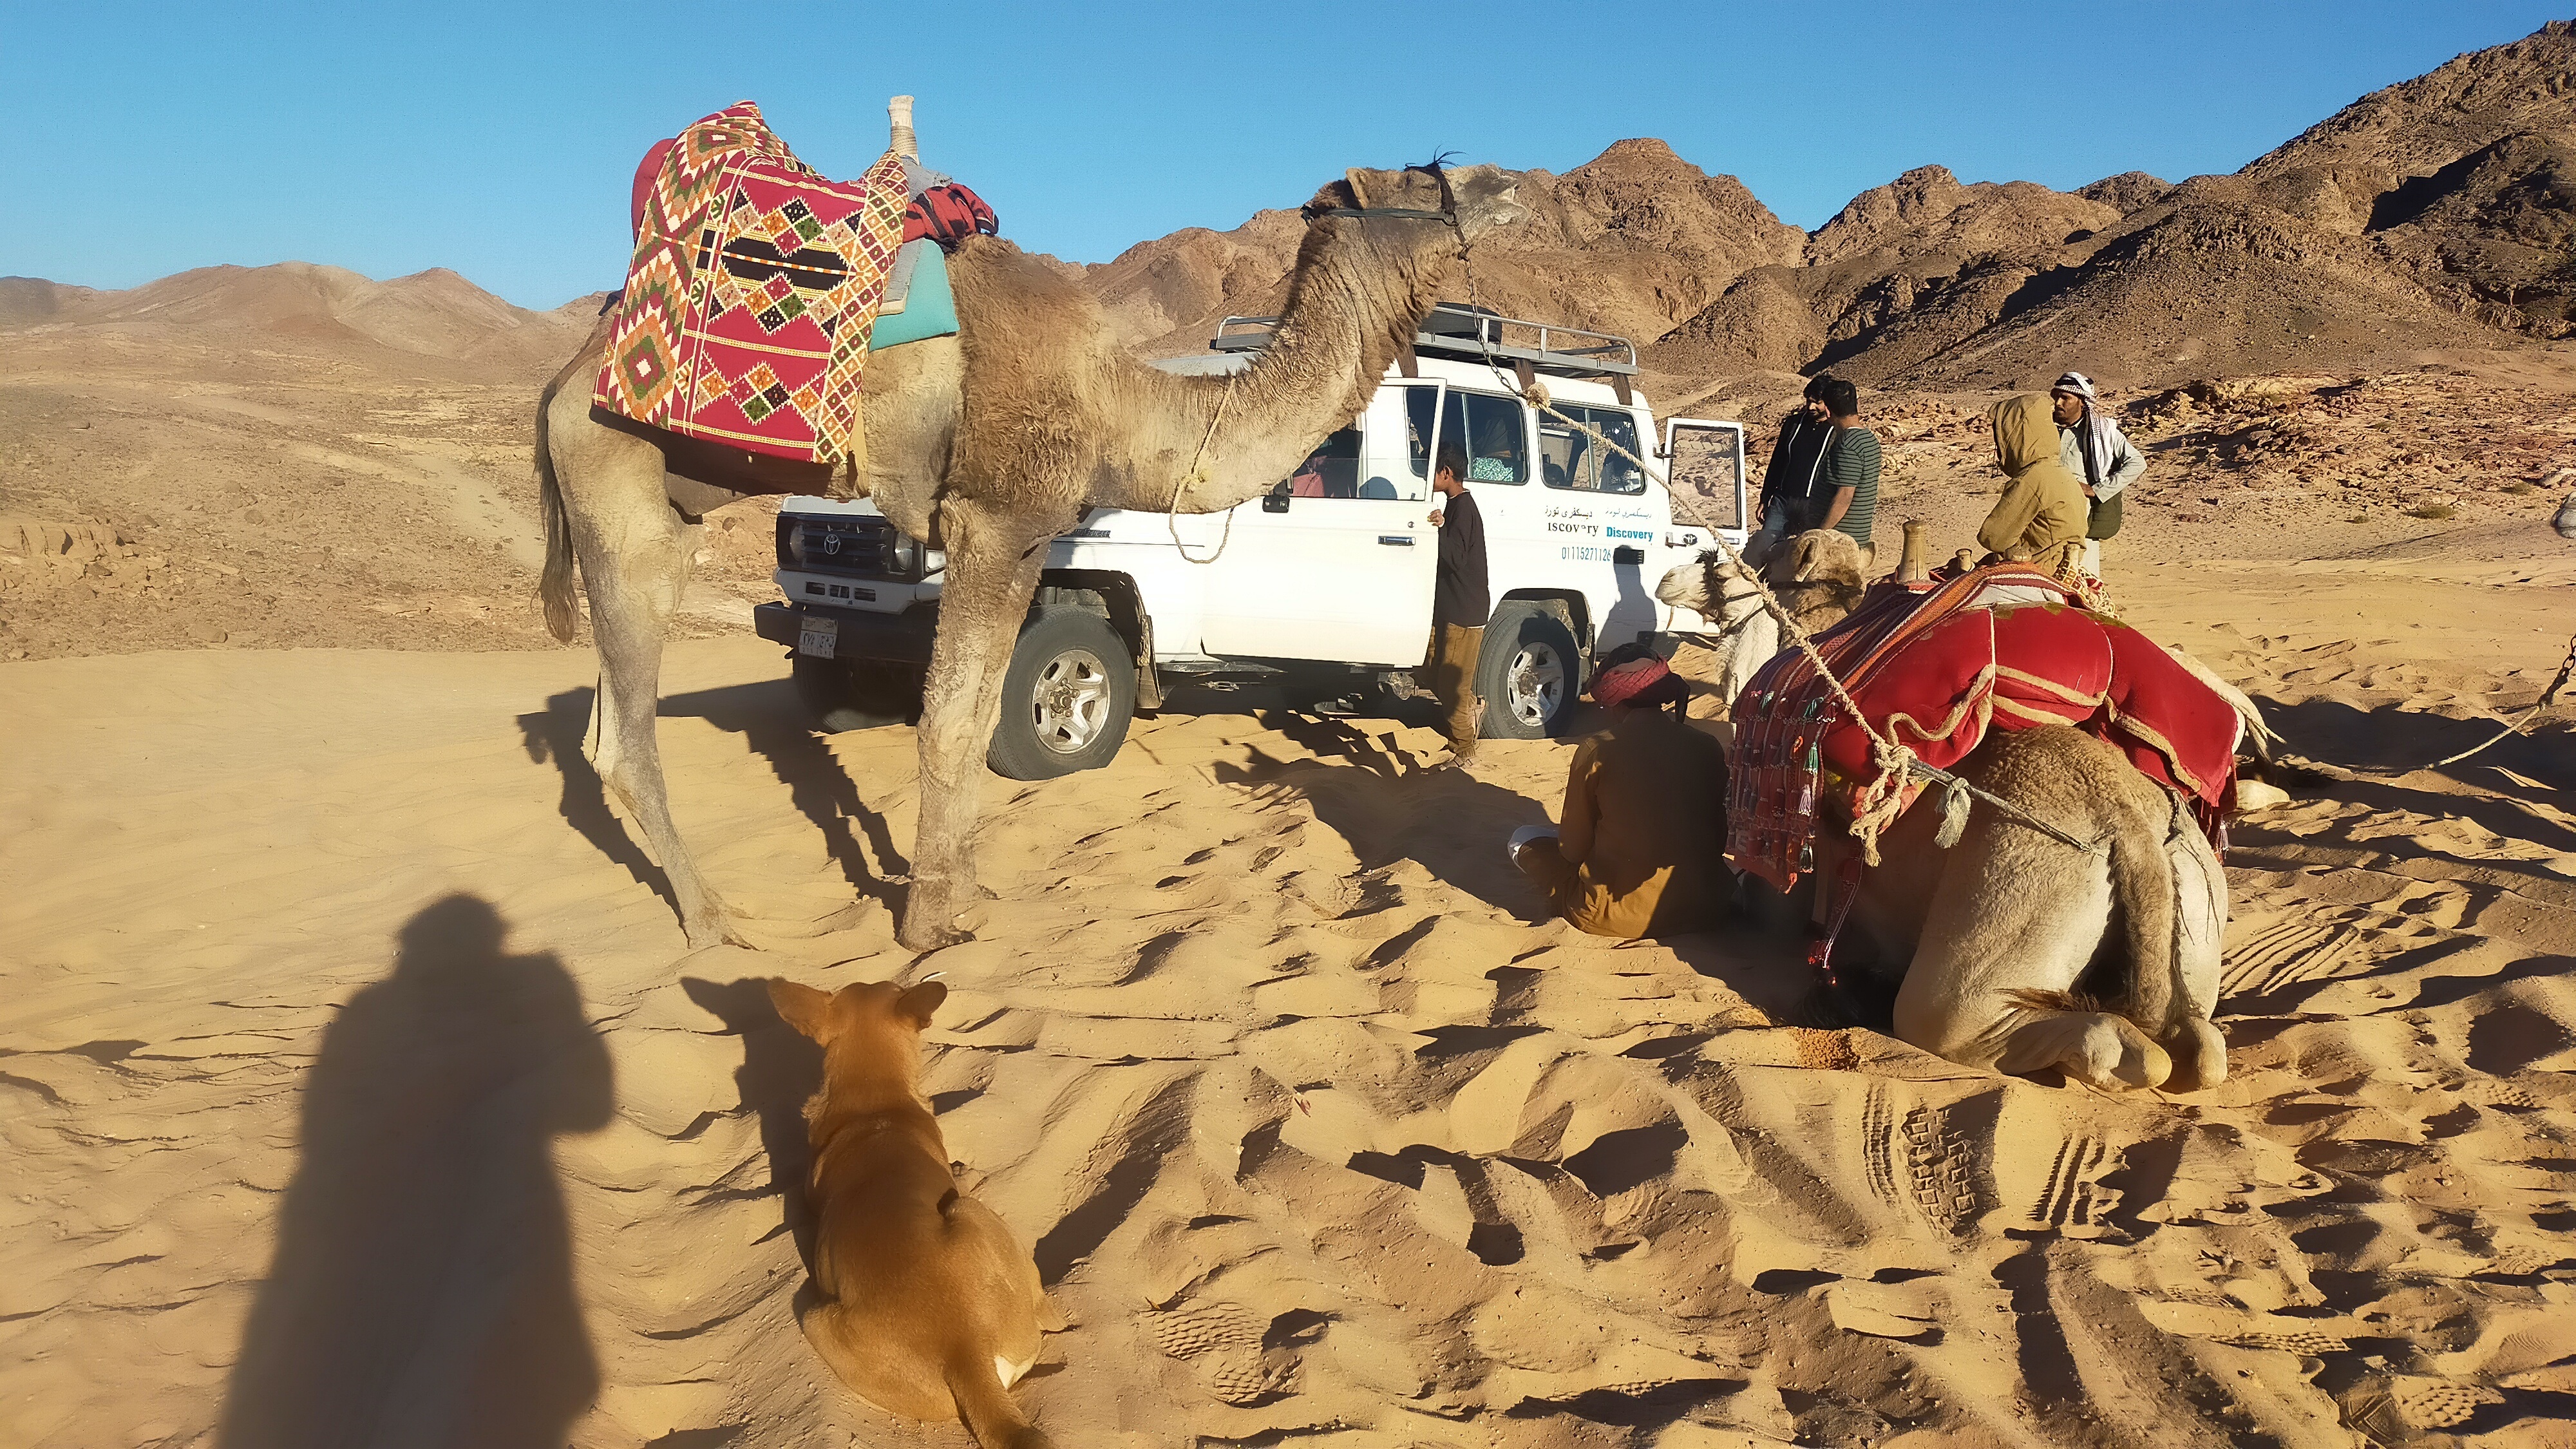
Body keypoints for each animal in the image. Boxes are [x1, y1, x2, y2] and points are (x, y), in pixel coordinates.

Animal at [535, 104, 1527, 950]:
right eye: (1420, 173)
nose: (1508, 179)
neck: (1123, 404)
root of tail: (565, 380)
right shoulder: (992, 517)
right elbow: (946, 722)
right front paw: (927, 928)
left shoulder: (1026, 539)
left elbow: (977, 720)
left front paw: (968, 894)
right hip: (619, 491)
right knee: (624, 738)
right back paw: (713, 923)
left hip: (665, 507)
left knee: (604, 728)